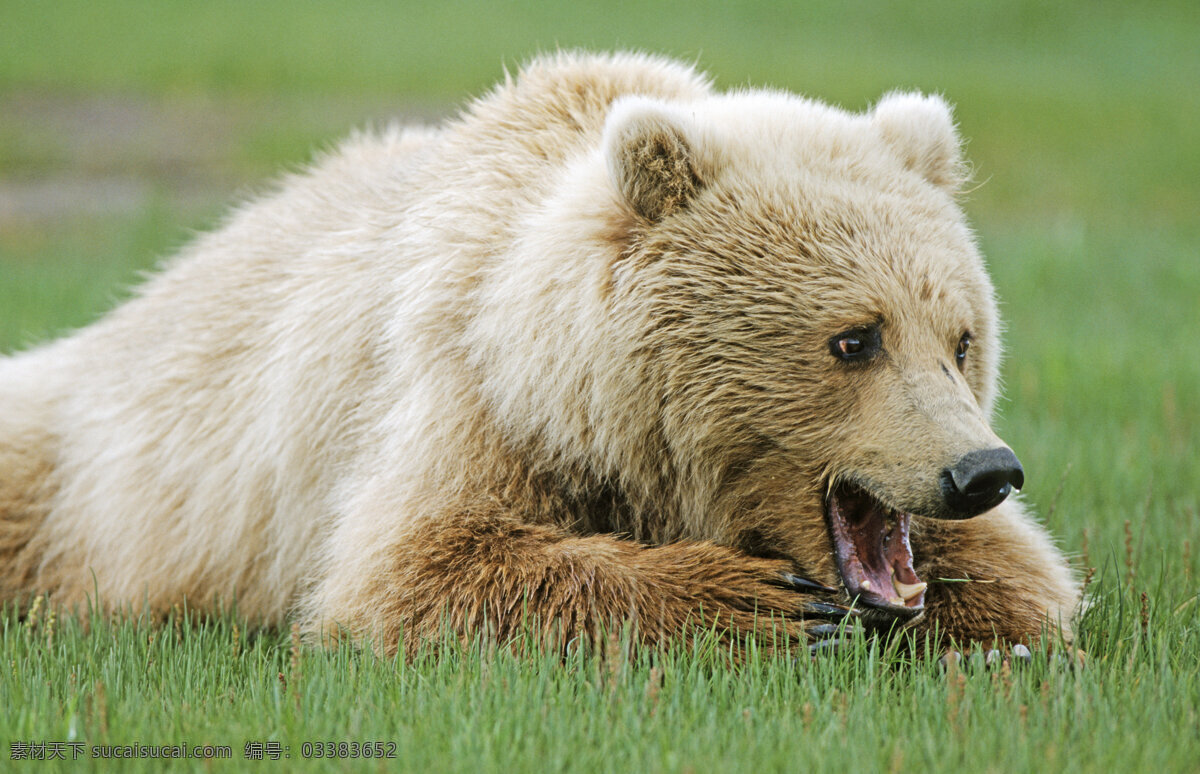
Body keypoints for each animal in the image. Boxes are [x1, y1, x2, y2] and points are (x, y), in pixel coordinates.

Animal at [0, 49, 1080, 652]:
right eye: (854, 339)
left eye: (962, 339)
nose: (982, 469)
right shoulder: (469, 397)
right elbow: (413, 570)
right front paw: (756, 608)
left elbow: (1032, 581)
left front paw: (990, 627)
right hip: (77, 470)